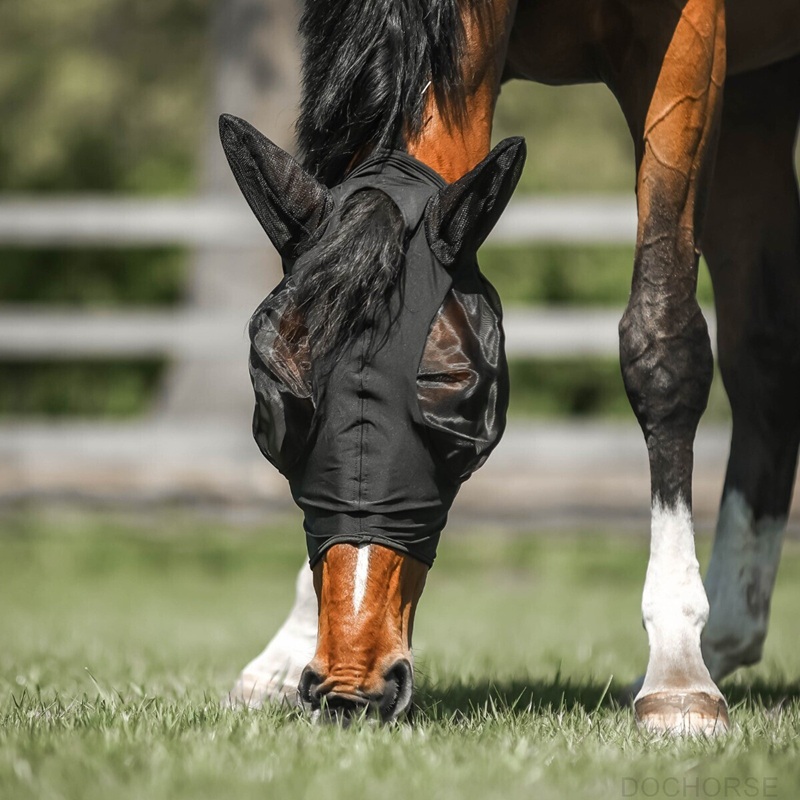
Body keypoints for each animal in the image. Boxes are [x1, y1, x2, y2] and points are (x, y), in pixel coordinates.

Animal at [222, 0, 800, 734]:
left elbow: (662, 342)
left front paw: (677, 672)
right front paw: (283, 652)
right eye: (276, 412)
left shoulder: (687, 44)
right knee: (767, 357)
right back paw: (726, 633)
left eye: (457, 403)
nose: (353, 685)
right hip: (761, 95)